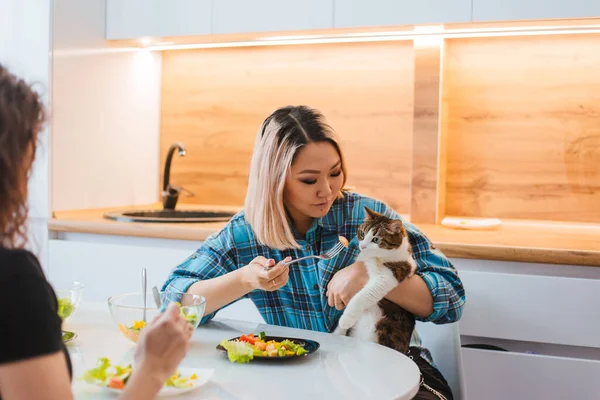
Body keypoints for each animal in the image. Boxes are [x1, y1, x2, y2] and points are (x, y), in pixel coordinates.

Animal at [332, 206, 418, 354]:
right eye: (362, 233)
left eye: (376, 240)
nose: (362, 246)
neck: (376, 256)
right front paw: (338, 332)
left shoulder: (390, 275)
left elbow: (361, 297)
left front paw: (345, 320)